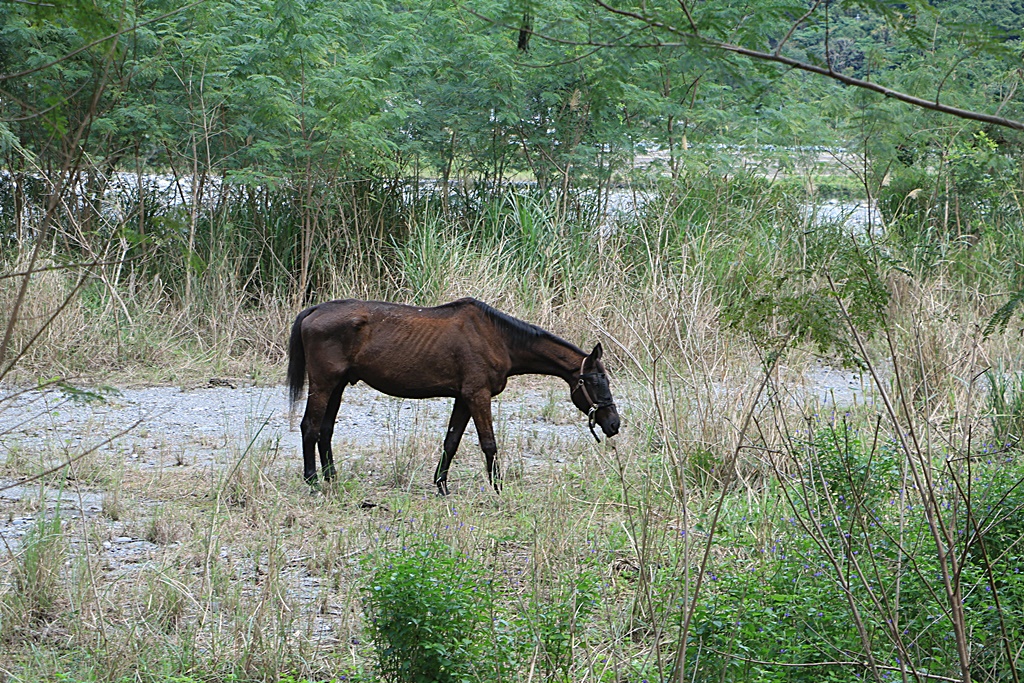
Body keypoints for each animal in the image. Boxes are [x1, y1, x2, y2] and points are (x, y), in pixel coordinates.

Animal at [290, 296, 622, 493]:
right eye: (596, 381)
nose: (614, 423)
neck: (497, 337)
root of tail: (315, 310)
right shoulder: (478, 395)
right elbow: (489, 444)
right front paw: (498, 488)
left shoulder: (463, 398)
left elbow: (451, 442)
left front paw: (442, 485)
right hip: (323, 384)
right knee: (310, 427)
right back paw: (312, 481)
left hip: (338, 386)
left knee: (325, 430)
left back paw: (332, 478)